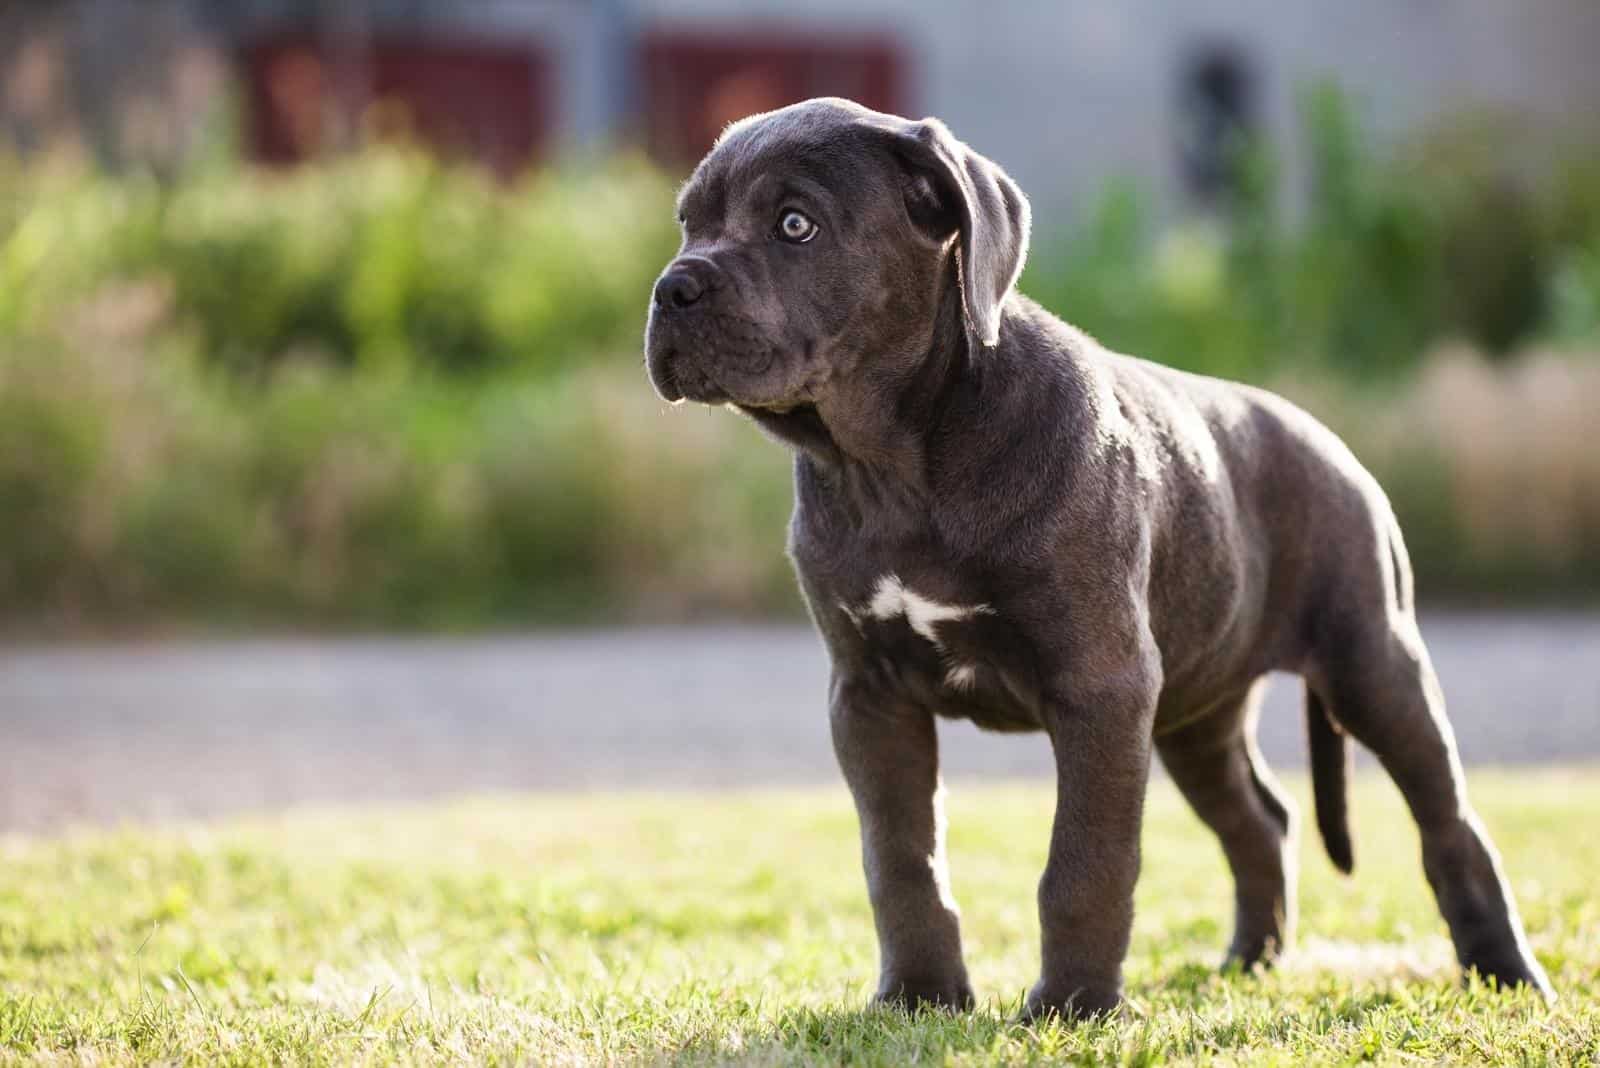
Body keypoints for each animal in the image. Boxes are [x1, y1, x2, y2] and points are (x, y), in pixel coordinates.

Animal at [640, 97, 1548, 1016]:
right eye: (689, 224)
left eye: (797, 225)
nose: (672, 287)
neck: (897, 462)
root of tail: (1337, 448)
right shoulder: (869, 695)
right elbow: (900, 859)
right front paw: (921, 995)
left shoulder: (1103, 686)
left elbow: (1085, 862)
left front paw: (1073, 1005)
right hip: (1196, 712)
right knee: (1261, 821)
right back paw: (1250, 961)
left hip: (1372, 664)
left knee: (1451, 826)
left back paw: (1506, 973)